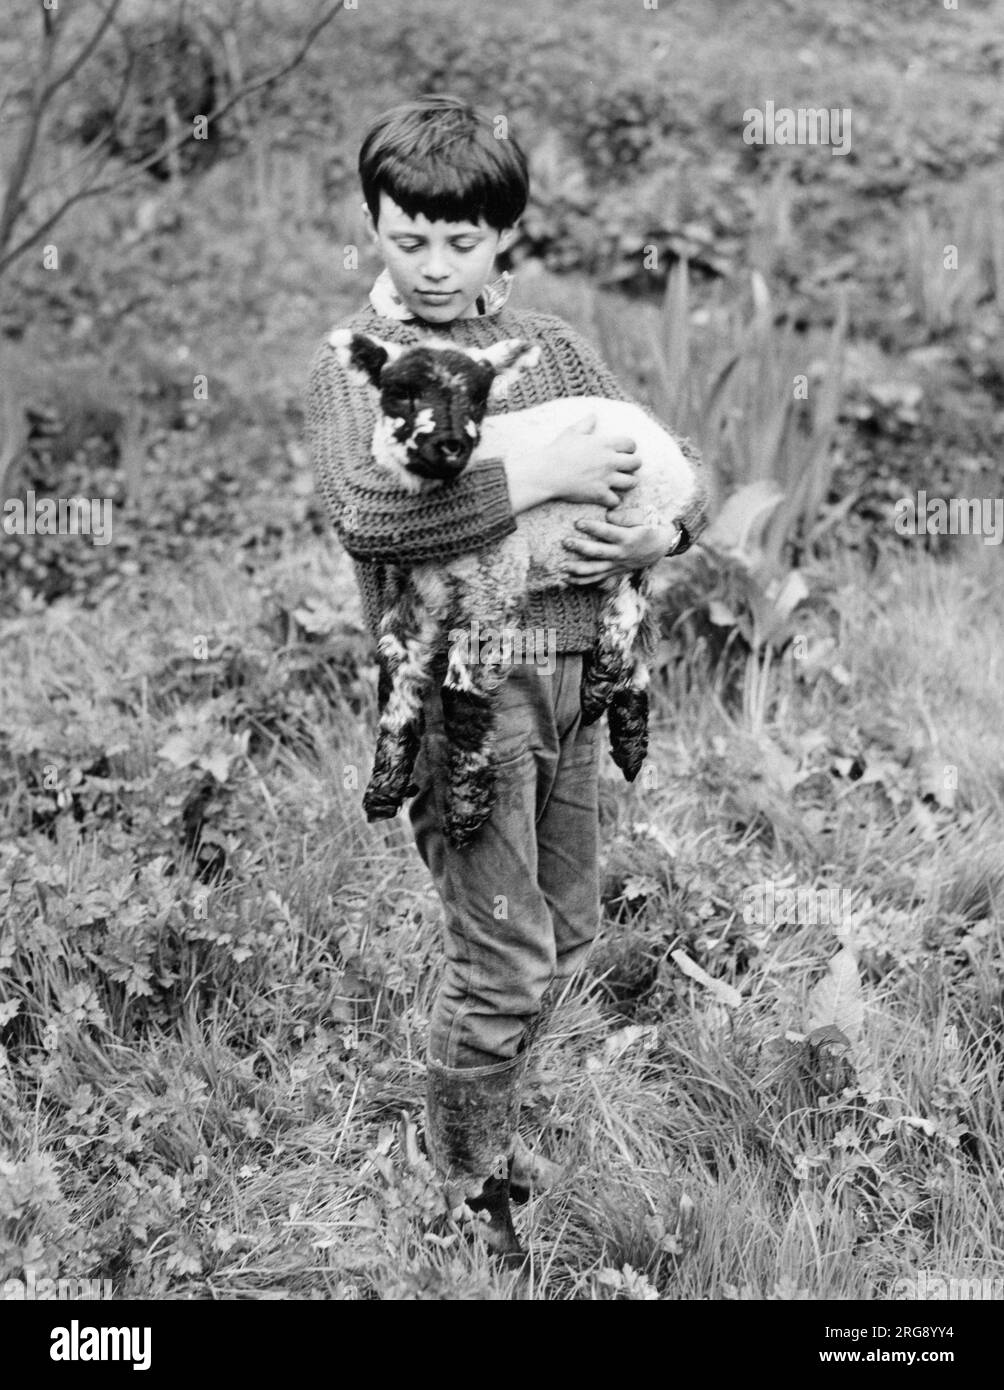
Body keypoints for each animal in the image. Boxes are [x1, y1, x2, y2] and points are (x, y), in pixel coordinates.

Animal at [326, 328, 695, 845]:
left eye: (479, 398)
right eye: (400, 391)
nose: (449, 445)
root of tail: (657, 431)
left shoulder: (492, 585)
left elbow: (461, 697)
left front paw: (465, 810)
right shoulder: (407, 595)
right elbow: (394, 683)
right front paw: (384, 788)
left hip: (637, 520)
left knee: (627, 604)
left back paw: (601, 686)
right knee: (645, 622)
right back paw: (627, 734)